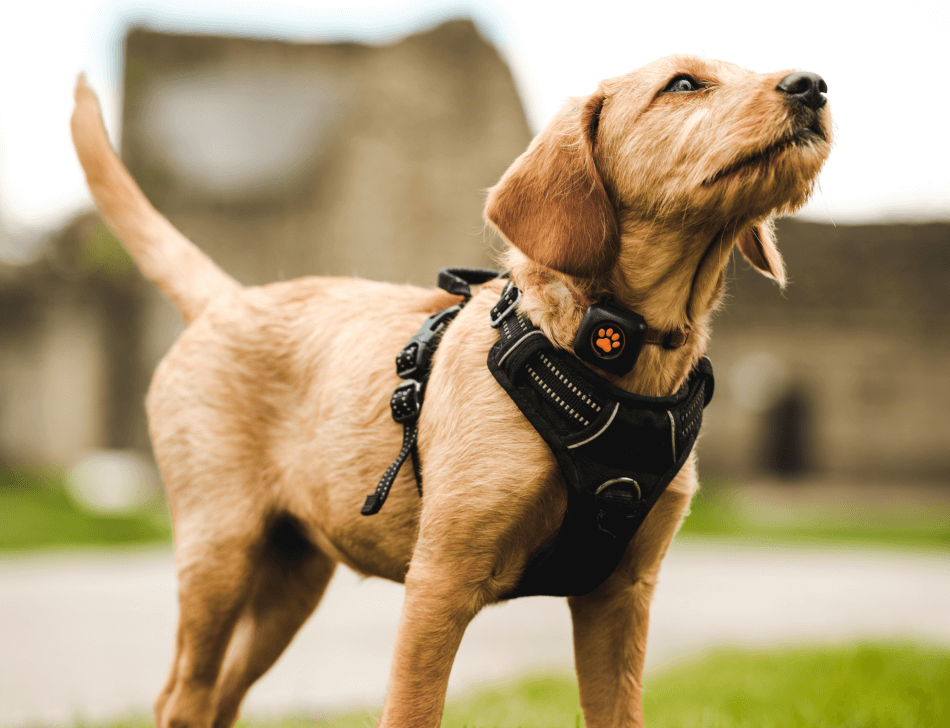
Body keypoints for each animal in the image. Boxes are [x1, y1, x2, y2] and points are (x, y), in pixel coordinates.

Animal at [72, 57, 832, 728]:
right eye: (682, 84)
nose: (813, 85)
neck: (607, 351)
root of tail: (226, 299)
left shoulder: (620, 595)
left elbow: (618, 716)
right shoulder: (439, 581)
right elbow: (412, 712)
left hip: (291, 579)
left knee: (219, 699)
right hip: (219, 552)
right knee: (183, 698)